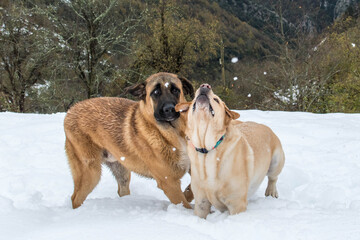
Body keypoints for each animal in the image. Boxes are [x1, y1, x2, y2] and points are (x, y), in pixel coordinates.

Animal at [63, 72, 195, 209]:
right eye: (155, 92)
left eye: (175, 90)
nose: (169, 109)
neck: (174, 131)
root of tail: (71, 110)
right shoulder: (169, 181)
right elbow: (184, 204)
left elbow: (191, 190)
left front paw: (189, 196)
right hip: (90, 171)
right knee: (76, 198)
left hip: (121, 168)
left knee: (122, 190)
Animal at [176, 84, 286, 218]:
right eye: (194, 98)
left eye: (216, 100)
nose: (205, 86)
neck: (207, 149)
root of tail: (263, 125)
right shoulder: (201, 202)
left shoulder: (236, 203)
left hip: (276, 161)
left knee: (273, 178)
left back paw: (271, 192)